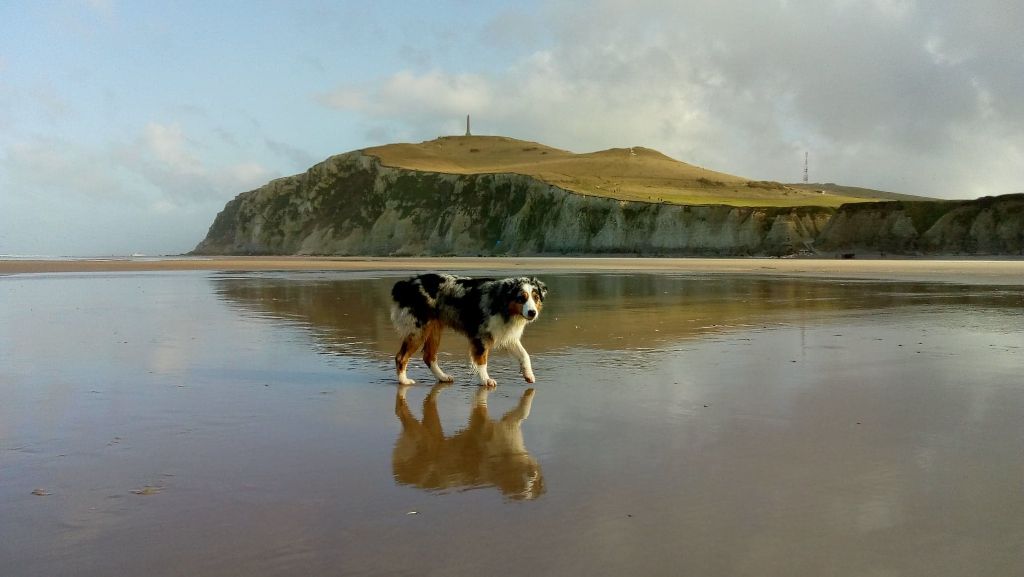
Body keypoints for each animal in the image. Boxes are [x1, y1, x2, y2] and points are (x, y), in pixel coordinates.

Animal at [389, 274, 548, 387]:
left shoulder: (507, 335)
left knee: (429, 356)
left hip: (434, 330)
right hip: (418, 330)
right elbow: (482, 360)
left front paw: (528, 375)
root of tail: (406, 284)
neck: (502, 302)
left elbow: (524, 355)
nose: (532, 313)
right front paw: (485, 380)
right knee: (401, 357)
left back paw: (442, 377)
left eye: (535, 298)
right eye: (521, 298)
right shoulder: (481, 337)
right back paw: (404, 381)